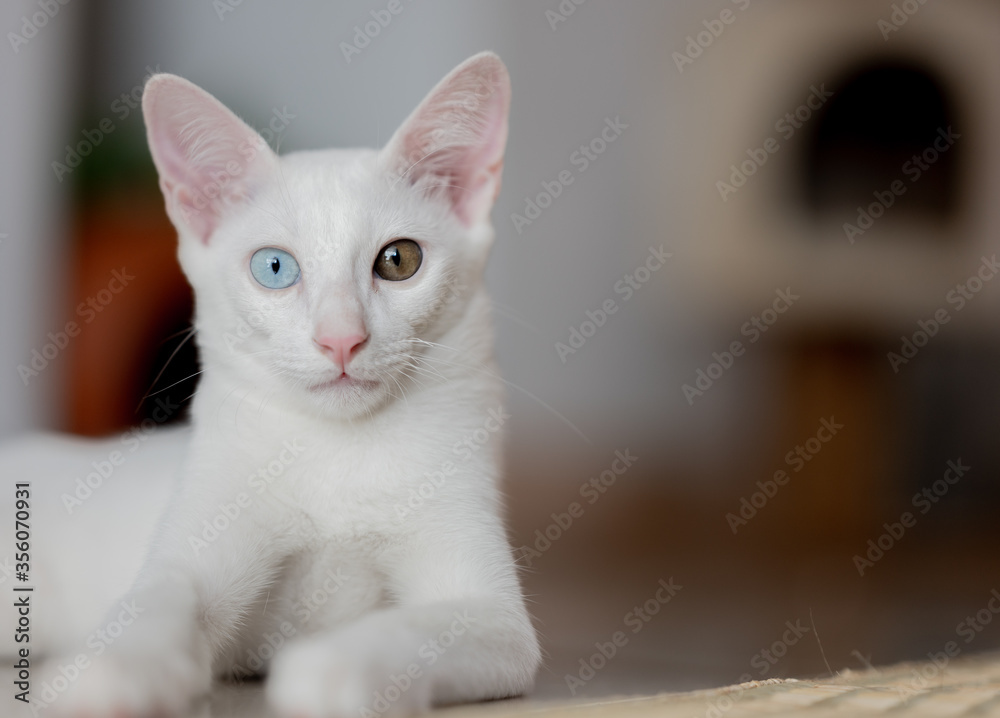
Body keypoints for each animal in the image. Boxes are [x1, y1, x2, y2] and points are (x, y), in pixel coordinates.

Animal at [0, 53, 544, 716]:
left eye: (399, 260)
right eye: (275, 267)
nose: (341, 339)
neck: (338, 455)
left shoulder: (495, 617)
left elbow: (416, 627)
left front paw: (334, 669)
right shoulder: (195, 551)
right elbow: (154, 603)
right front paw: (110, 673)